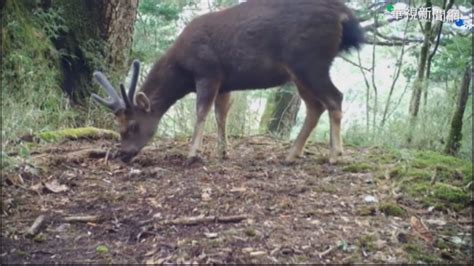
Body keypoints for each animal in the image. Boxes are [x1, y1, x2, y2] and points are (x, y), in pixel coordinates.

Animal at [91, 0, 362, 163]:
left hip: (310, 62)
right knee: (315, 106)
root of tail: (343, 15)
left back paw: (335, 154)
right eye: (118, 126)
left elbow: (202, 111)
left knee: (335, 98)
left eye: (133, 125)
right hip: (299, 73)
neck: (182, 69)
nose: (123, 154)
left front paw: (193, 153)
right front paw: (223, 151)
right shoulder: (225, 83)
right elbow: (221, 115)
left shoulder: (208, 71)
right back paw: (292, 154)